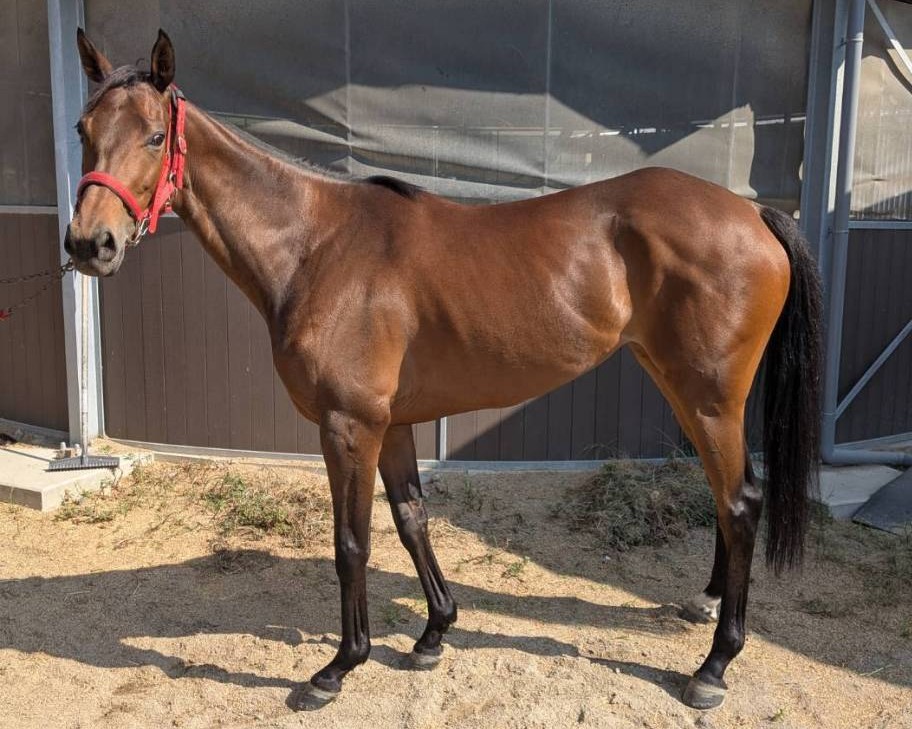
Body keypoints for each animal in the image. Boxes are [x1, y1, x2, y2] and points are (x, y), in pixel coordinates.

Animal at [67, 29, 822, 711]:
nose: (88, 244)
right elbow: (411, 520)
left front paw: (339, 666)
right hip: (684, 390)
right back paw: (705, 604)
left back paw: (714, 665)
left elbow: (352, 542)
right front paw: (434, 632)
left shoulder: (348, 426)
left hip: (710, 397)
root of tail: (752, 210)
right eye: (82, 129)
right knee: (726, 498)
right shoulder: (392, 423)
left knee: (741, 502)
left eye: (155, 136)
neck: (315, 247)